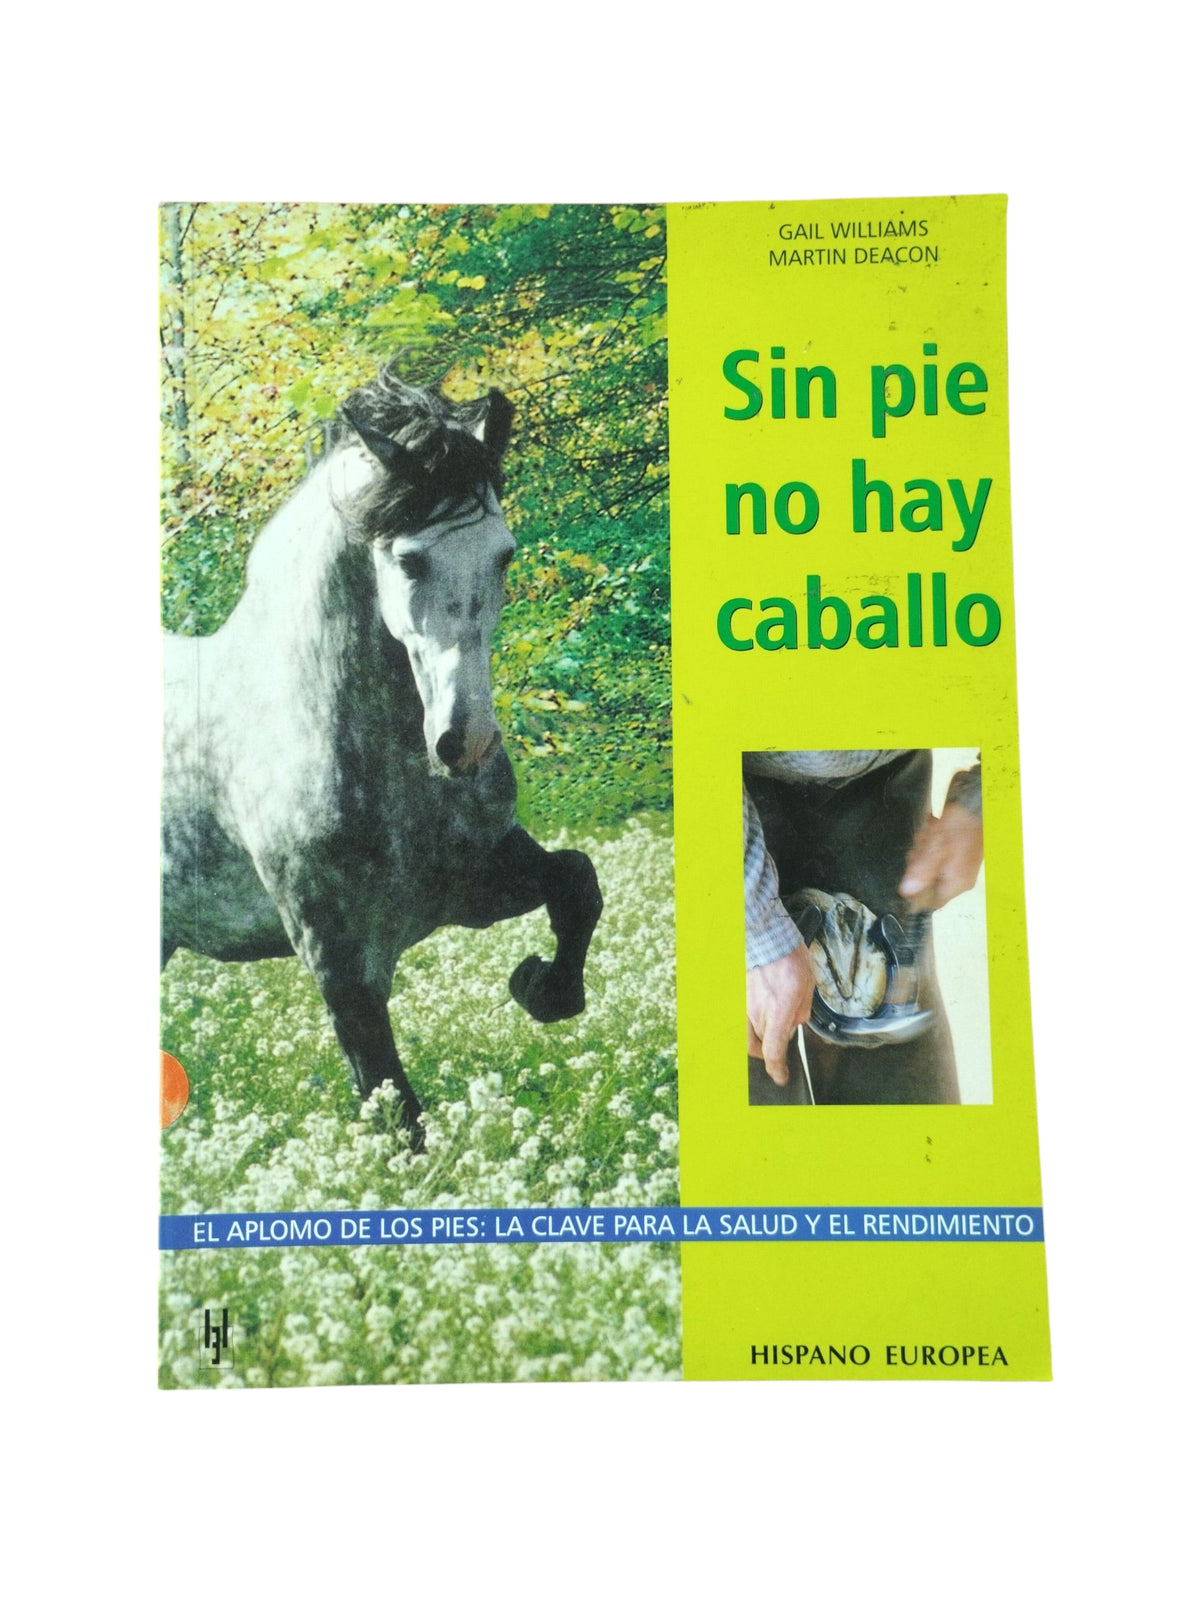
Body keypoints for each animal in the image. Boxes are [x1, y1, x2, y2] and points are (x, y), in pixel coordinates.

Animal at [161, 372, 603, 1143]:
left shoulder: (473, 885)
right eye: (409, 558)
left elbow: (578, 881)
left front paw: (543, 989)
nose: (466, 741)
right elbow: (393, 1104)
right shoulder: (339, 959)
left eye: (505, 552)